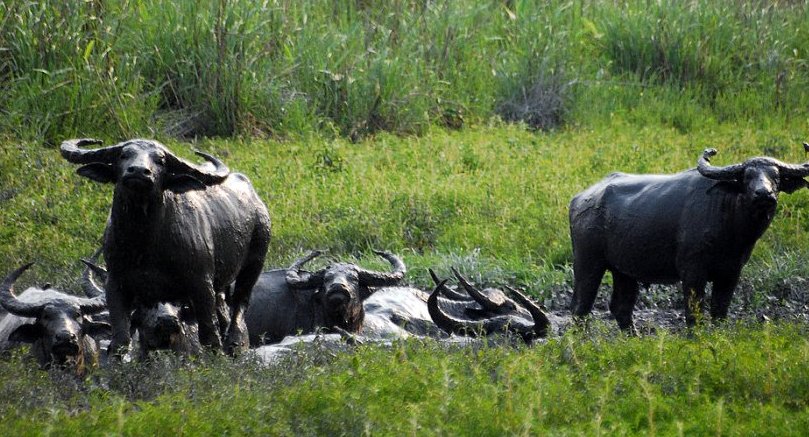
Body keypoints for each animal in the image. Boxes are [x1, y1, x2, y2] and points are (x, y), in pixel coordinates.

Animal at [62, 138, 272, 356]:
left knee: (239, 304)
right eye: (123, 154)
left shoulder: (201, 283)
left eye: (160, 160)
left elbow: (208, 336)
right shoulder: (116, 284)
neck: (144, 244)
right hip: (220, 286)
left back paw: (235, 343)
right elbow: (120, 339)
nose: (139, 171)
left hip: (254, 263)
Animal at [568, 145, 808, 328]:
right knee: (581, 306)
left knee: (622, 308)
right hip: (588, 263)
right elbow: (694, 314)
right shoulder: (692, 271)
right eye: (746, 176)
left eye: (775, 176)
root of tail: (580, 198)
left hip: (624, 271)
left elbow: (719, 313)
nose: (763, 194)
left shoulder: (731, 273)